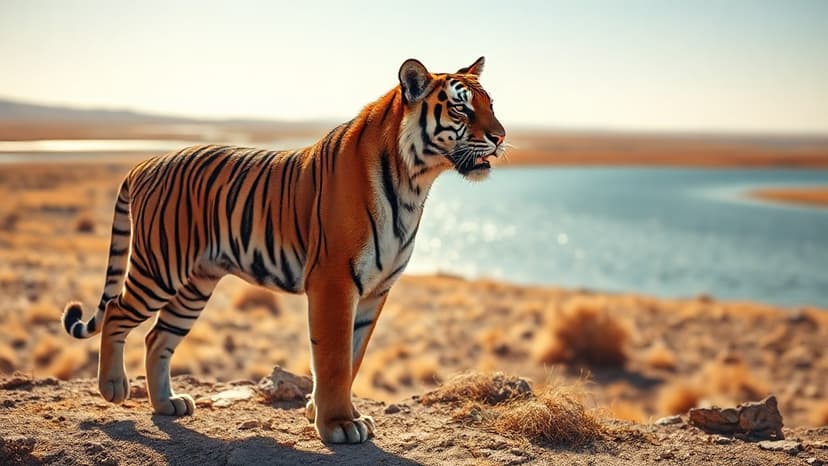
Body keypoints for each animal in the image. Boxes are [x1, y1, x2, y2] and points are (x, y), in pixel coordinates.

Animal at [61, 57, 505, 444]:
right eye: (462, 109)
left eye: (491, 105)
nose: (500, 137)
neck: (415, 183)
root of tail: (146, 162)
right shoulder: (334, 281)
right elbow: (333, 358)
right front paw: (338, 425)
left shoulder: (375, 291)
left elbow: (353, 359)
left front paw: (325, 413)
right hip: (160, 266)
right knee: (116, 311)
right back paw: (113, 387)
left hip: (196, 283)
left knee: (157, 338)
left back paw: (168, 404)